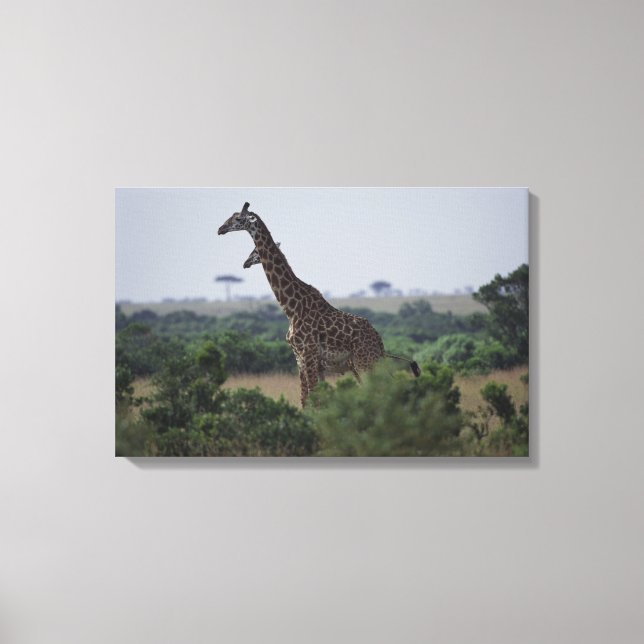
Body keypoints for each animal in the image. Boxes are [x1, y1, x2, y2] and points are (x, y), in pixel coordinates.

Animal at [219, 202, 420, 406]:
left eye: (237, 218)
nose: (221, 229)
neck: (291, 309)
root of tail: (378, 339)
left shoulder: (308, 354)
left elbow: (313, 399)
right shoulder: (300, 359)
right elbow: (306, 399)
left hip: (365, 360)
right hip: (366, 363)